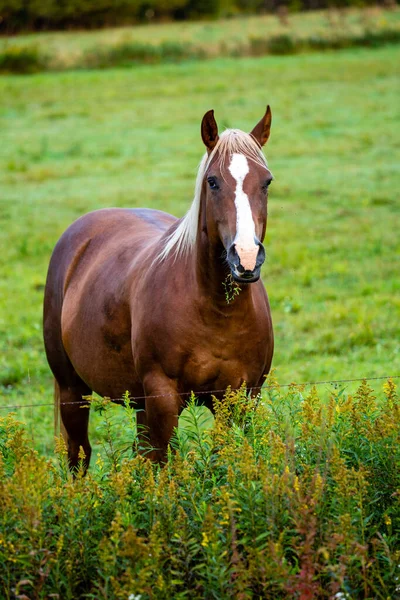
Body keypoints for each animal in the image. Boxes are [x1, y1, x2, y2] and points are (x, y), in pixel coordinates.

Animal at [43, 106, 276, 468]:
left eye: (266, 181)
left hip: (138, 402)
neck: (215, 311)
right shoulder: (163, 396)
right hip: (73, 391)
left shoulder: (239, 398)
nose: (246, 257)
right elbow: (167, 466)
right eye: (212, 182)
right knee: (79, 454)